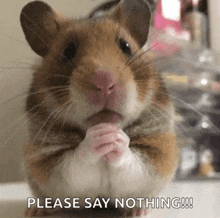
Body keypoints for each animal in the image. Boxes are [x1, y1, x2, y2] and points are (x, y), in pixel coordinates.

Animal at [20, 0, 179, 216]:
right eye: (68, 51)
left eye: (126, 46)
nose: (104, 82)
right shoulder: (47, 161)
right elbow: (76, 161)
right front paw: (101, 135)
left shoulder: (158, 152)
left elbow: (133, 163)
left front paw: (115, 137)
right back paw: (36, 211)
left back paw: (138, 211)